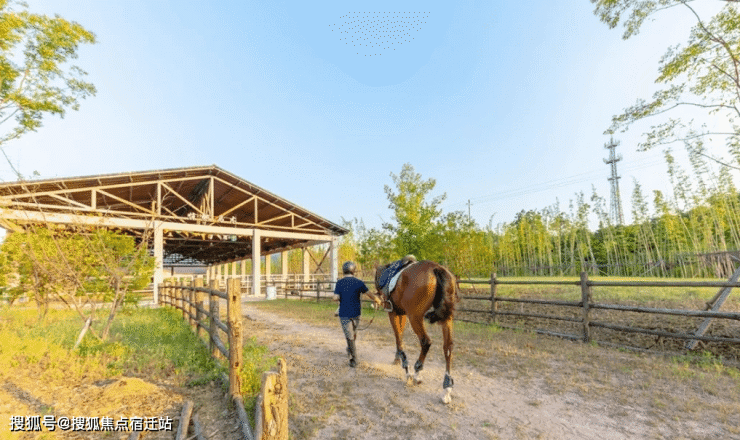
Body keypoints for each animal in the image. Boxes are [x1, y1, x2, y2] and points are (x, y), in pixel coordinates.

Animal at [372, 260, 460, 404]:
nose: (377, 299)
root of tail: (436, 268)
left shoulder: (393, 313)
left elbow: (398, 336)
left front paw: (404, 364)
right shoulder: (401, 313)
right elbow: (400, 335)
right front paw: (398, 357)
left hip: (415, 317)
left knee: (426, 342)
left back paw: (416, 373)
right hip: (446, 319)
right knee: (448, 347)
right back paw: (447, 388)